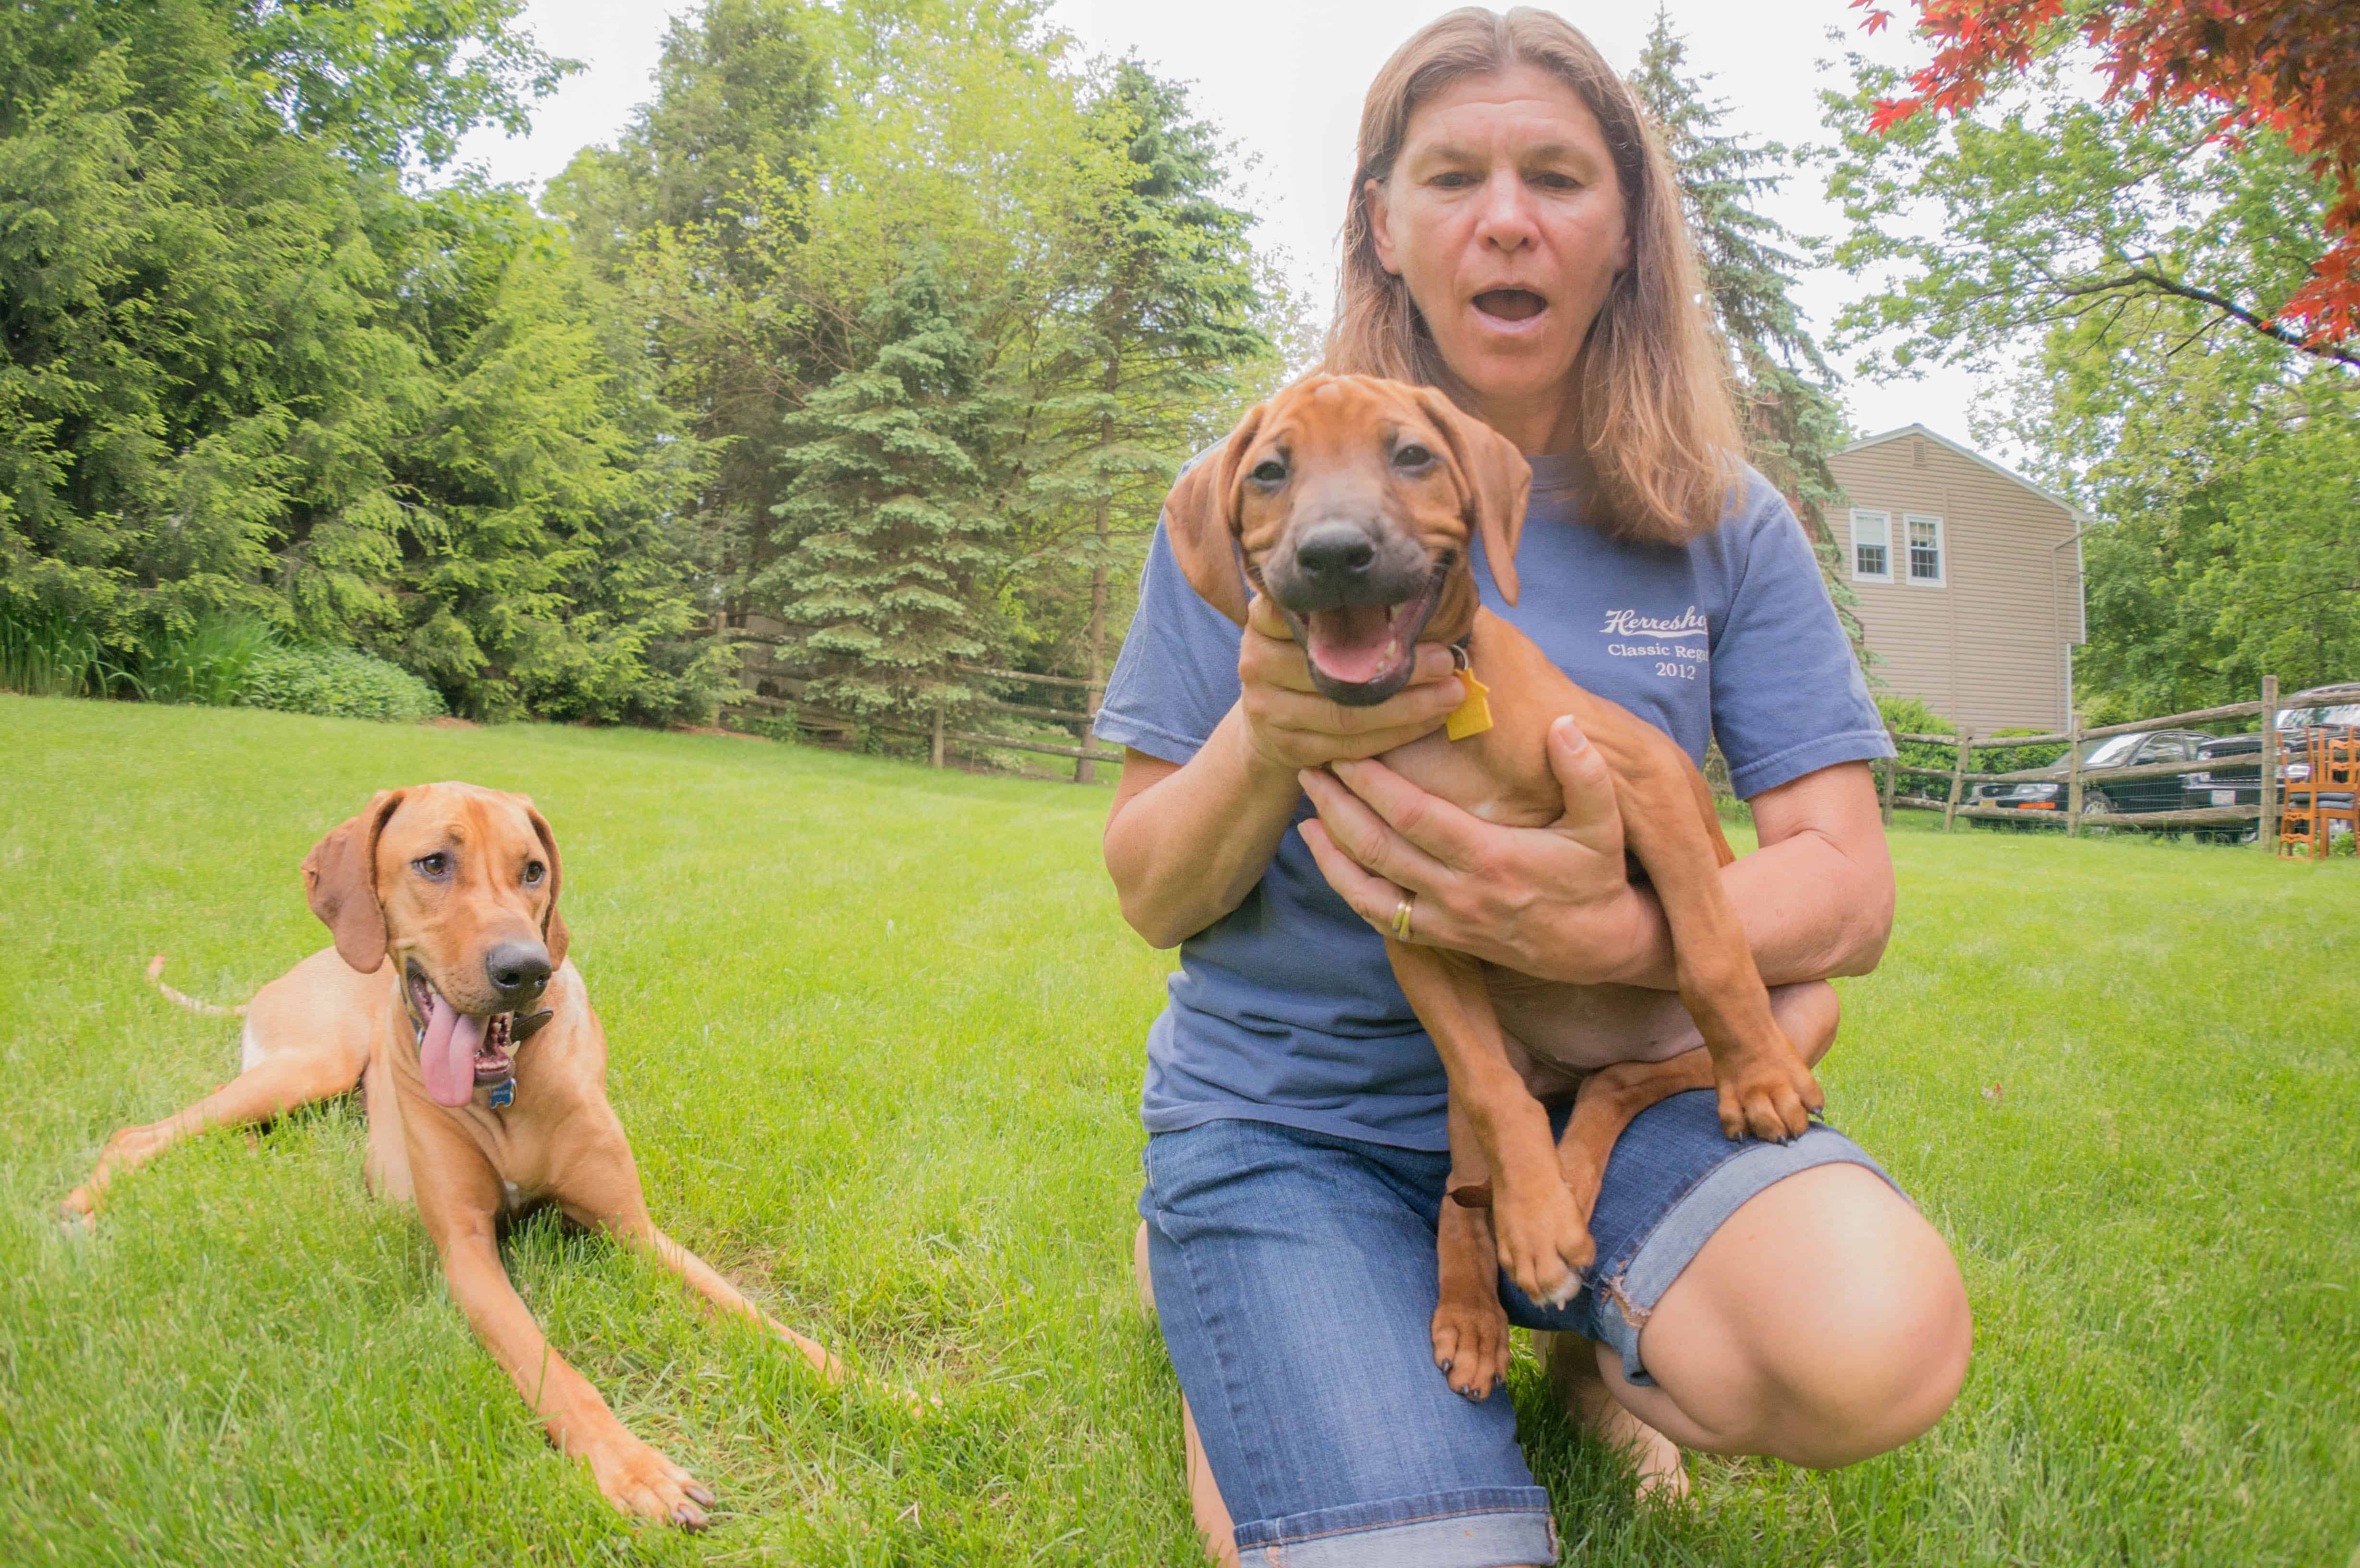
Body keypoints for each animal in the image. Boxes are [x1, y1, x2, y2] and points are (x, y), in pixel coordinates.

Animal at [57, 784, 840, 1530]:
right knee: (138, 1136)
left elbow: (755, 1315)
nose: (526, 969)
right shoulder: (467, 1253)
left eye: (533, 871)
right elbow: (550, 1367)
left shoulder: (634, 1229)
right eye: (434, 862)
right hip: (312, 1064)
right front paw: (637, 1470)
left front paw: (863, 1385)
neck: (508, 1089)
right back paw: (80, 1214)